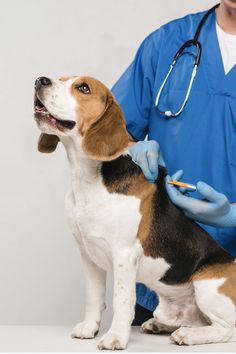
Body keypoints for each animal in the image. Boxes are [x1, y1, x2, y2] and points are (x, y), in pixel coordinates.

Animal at [33, 74, 236, 348]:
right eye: (61, 79)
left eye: (83, 88)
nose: (39, 81)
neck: (89, 179)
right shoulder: (88, 255)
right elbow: (93, 297)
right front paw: (89, 328)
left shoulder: (124, 254)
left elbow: (122, 300)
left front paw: (115, 337)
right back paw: (161, 325)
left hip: (208, 285)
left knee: (227, 329)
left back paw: (188, 335)